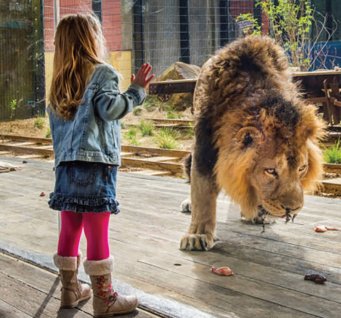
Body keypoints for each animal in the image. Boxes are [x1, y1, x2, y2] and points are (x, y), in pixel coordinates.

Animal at [179, 36, 322, 251]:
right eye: (270, 171)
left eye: (302, 168)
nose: (293, 209)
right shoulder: (205, 147)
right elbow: (202, 193)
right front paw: (198, 234)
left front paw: (256, 213)